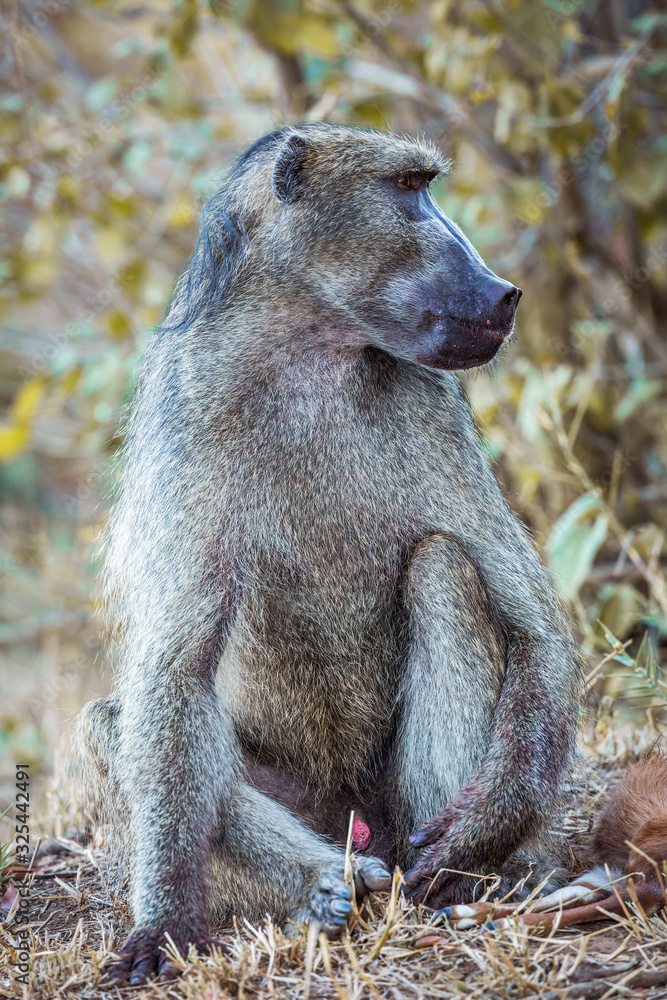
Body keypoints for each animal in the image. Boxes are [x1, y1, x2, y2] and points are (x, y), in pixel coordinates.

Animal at [70, 123, 581, 984]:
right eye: (408, 188)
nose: (501, 292)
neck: (309, 350)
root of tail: (355, 815)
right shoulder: (186, 412)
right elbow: (174, 670)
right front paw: (165, 924)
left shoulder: (432, 408)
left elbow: (532, 628)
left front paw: (481, 829)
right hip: (308, 805)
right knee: (113, 724)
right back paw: (326, 886)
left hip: (395, 807)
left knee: (443, 567)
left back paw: (449, 882)